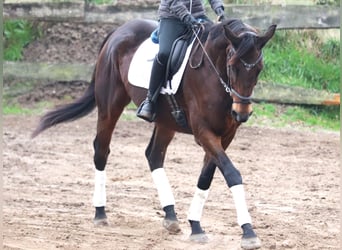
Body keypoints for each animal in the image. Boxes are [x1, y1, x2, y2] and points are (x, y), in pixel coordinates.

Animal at [32, 18, 276, 249]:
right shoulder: (203, 132)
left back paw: (170, 215)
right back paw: (100, 213)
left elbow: (207, 176)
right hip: (110, 107)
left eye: (259, 69)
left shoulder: (226, 135)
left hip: (166, 121)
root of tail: (118, 30)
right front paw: (248, 233)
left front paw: (196, 226)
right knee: (101, 151)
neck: (213, 74)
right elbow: (232, 173)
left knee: (154, 155)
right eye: (233, 66)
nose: (242, 114)